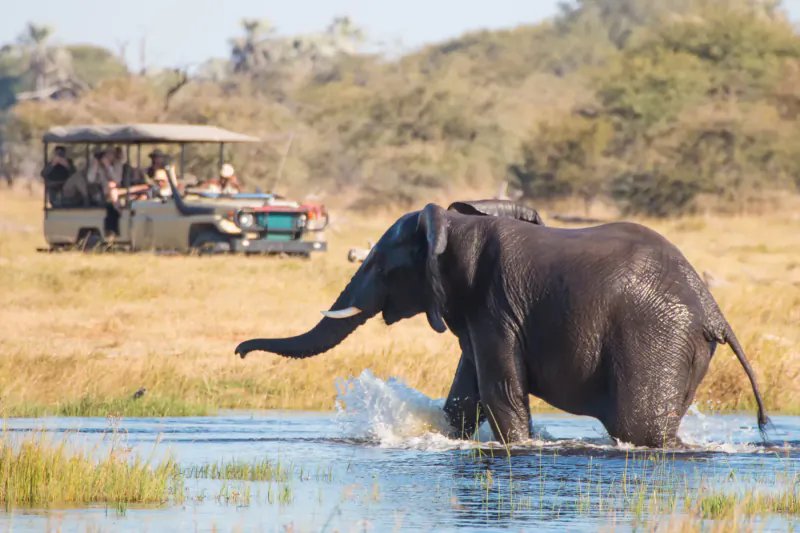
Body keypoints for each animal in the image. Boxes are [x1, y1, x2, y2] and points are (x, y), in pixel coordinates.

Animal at [235, 200, 768, 448]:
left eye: (382, 267)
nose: (240, 352)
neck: (455, 230)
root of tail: (712, 309)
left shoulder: (497, 304)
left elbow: (502, 394)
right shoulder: (476, 311)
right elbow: (463, 400)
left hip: (654, 334)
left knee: (639, 425)